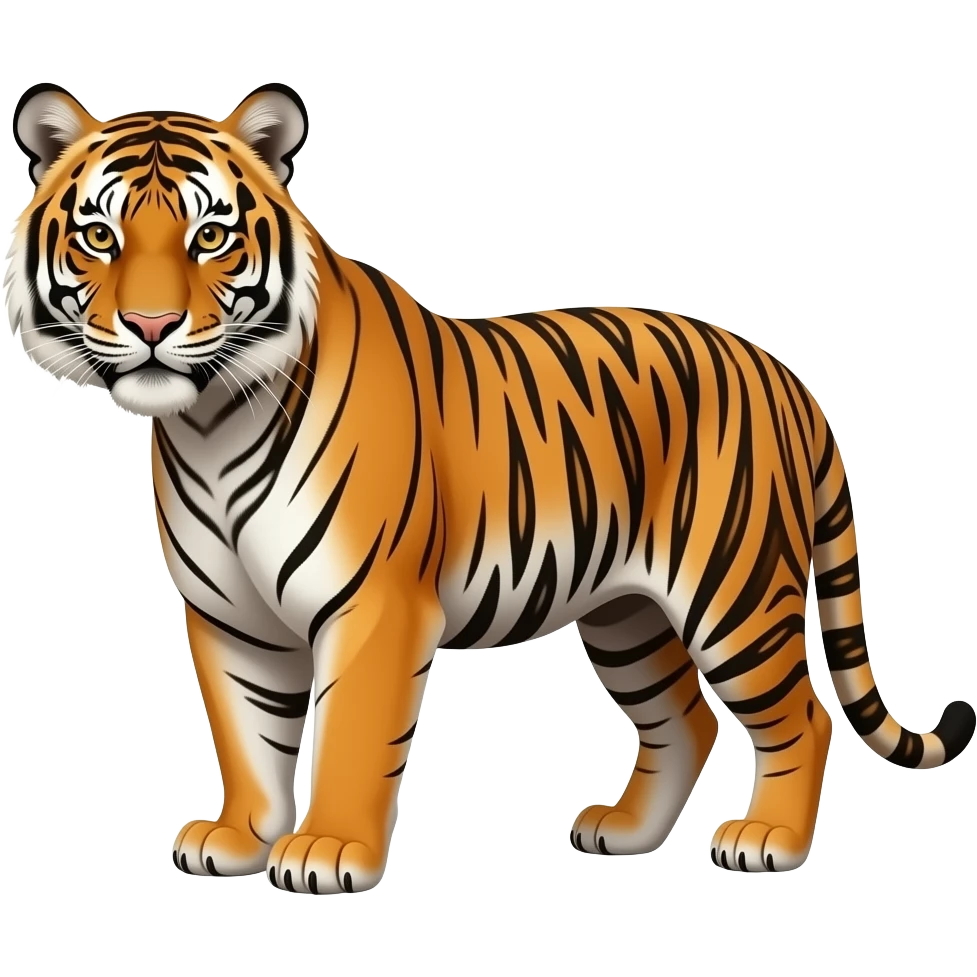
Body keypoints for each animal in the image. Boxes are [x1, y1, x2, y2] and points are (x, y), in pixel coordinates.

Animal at [4, 80, 974, 894]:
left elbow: (350, 730)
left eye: (210, 235)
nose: (152, 325)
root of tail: (784, 374)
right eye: (99, 236)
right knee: (685, 719)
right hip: (626, 613)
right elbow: (247, 735)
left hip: (732, 592)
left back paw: (767, 840)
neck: (209, 422)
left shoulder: (373, 603)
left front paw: (326, 851)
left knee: (802, 715)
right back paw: (624, 831)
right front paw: (239, 838)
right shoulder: (228, 615)